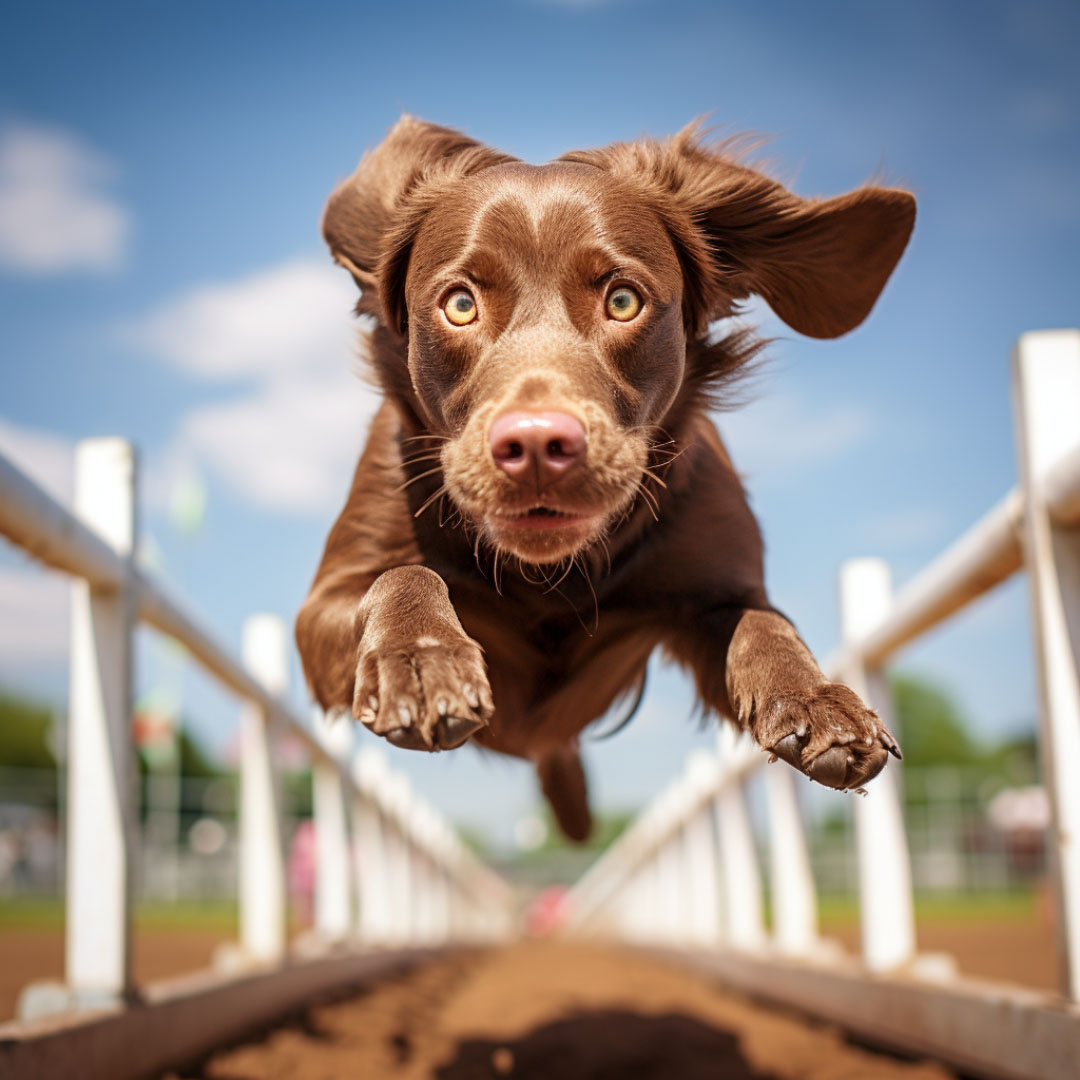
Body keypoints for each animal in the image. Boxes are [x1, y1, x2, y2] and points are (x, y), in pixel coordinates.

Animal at [295, 118, 911, 842]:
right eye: (460, 304)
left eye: (622, 300)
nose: (536, 445)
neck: (550, 576)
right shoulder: (327, 602)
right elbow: (402, 575)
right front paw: (420, 662)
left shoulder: (713, 591)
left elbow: (763, 623)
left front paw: (819, 702)